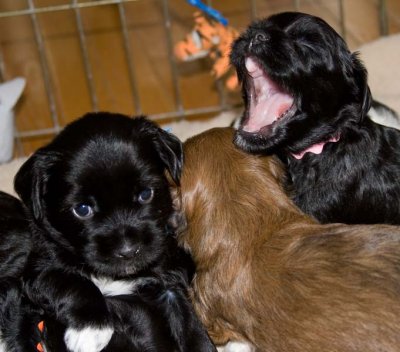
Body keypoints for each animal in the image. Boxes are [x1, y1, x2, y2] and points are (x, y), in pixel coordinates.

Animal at [13, 113, 216, 352]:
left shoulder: (170, 282)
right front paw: (92, 330)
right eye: (82, 209)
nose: (128, 251)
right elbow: (73, 281)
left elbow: (191, 328)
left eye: (146, 194)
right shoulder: (40, 269)